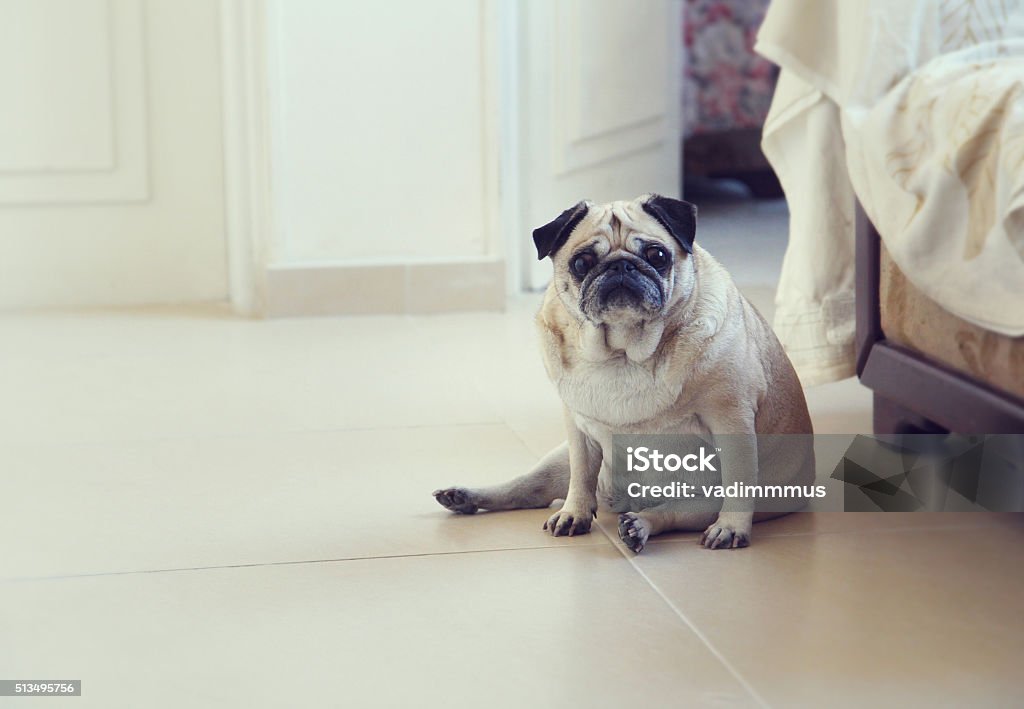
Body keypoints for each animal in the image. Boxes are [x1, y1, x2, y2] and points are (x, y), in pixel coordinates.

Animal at [432, 195, 815, 553]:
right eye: (582, 263)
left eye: (657, 255)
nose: (620, 266)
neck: (623, 353)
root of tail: (625, 501)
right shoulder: (578, 431)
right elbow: (580, 478)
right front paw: (574, 514)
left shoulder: (731, 420)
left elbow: (738, 481)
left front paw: (732, 528)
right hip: (558, 458)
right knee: (528, 489)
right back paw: (466, 496)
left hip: (706, 499)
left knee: (670, 514)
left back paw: (639, 526)